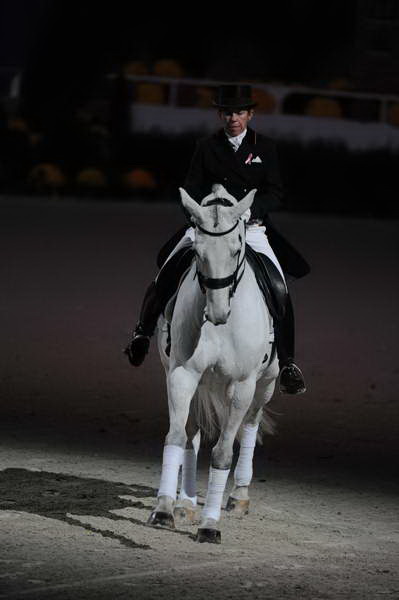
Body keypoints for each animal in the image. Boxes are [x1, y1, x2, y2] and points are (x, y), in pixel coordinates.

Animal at [148, 183, 282, 544]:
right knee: (191, 434)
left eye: (237, 249)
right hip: (192, 382)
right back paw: (185, 503)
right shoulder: (182, 374)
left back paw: (238, 496)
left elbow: (223, 453)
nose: (218, 313)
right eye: (197, 252)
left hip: (266, 384)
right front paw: (164, 509)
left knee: (250, 425)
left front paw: (210, 526)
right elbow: (176, 437)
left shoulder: (243, 385)